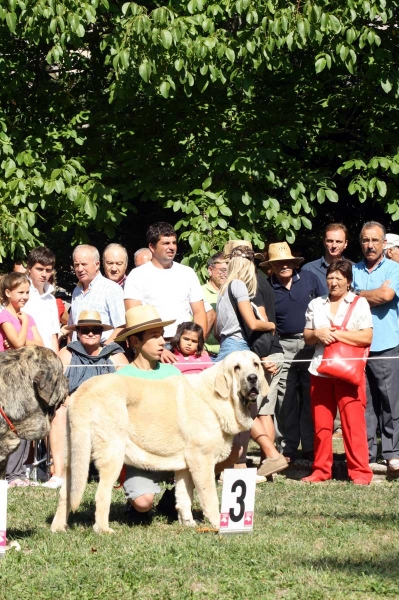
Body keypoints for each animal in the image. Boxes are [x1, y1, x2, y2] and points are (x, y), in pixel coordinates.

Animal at [50, 350, 268, 532]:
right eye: (237, 367)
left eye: (255, 364)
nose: (253, 378)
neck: (219, 398)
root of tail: (84, 390)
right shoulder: (202, 461)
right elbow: (210, 498)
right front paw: (218, 524)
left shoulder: (186, 466)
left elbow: (184, 497)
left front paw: (188, 523)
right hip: (112, 456)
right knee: (101, 495)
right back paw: (103, 530)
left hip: (76, 457)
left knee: (65, 494)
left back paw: (58, 528)